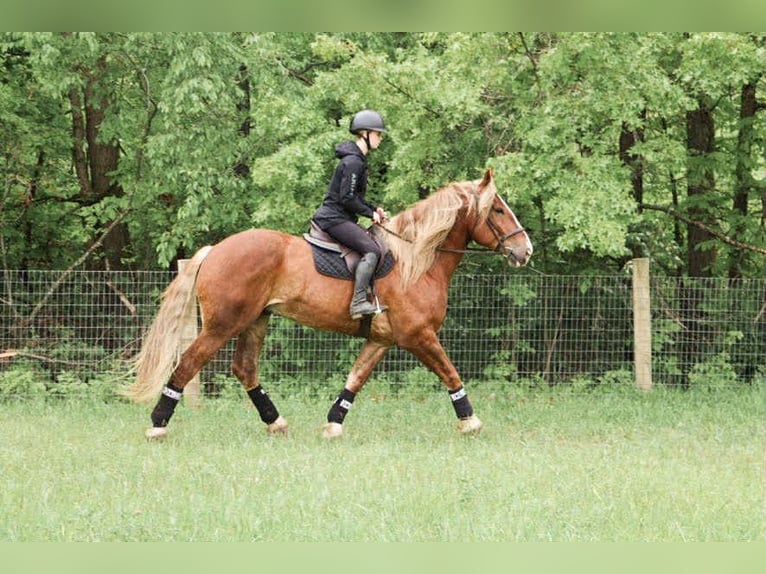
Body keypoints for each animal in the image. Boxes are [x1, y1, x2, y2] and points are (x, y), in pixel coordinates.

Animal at [124, 168, 533, 439]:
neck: (415, 262)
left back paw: (275, 422)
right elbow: (451, 373)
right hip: (223, 325)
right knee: (187, 364)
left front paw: (334, 424)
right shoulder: (419, 336)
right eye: (498, 210)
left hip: (256, 321)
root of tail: (214, 250)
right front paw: (470, 421)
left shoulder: (381, 340)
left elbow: (355, 379)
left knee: (245, 369)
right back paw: (157, 425)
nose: (525, 250)